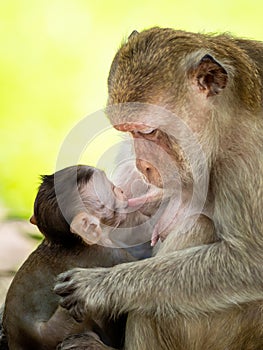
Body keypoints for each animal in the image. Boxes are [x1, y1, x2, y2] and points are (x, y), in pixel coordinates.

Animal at [55, 28, 263, 350]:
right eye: (129, 131)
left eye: (149, 131)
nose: (144, 165)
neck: (225, 123)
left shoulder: (248, 156)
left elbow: (252, 260)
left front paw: (99, 287)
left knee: (197, 228)